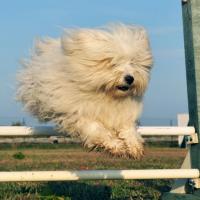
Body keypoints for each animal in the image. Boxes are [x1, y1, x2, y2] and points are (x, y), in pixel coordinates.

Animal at [16, 23, 153, 159]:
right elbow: (97, 130)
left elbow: (128, 129)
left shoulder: (122, 113)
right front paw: (116, 146)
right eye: (112, 62)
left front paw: (134, 146)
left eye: (133, 62)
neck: (105, 94)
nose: (130, 78)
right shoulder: (79, 113)